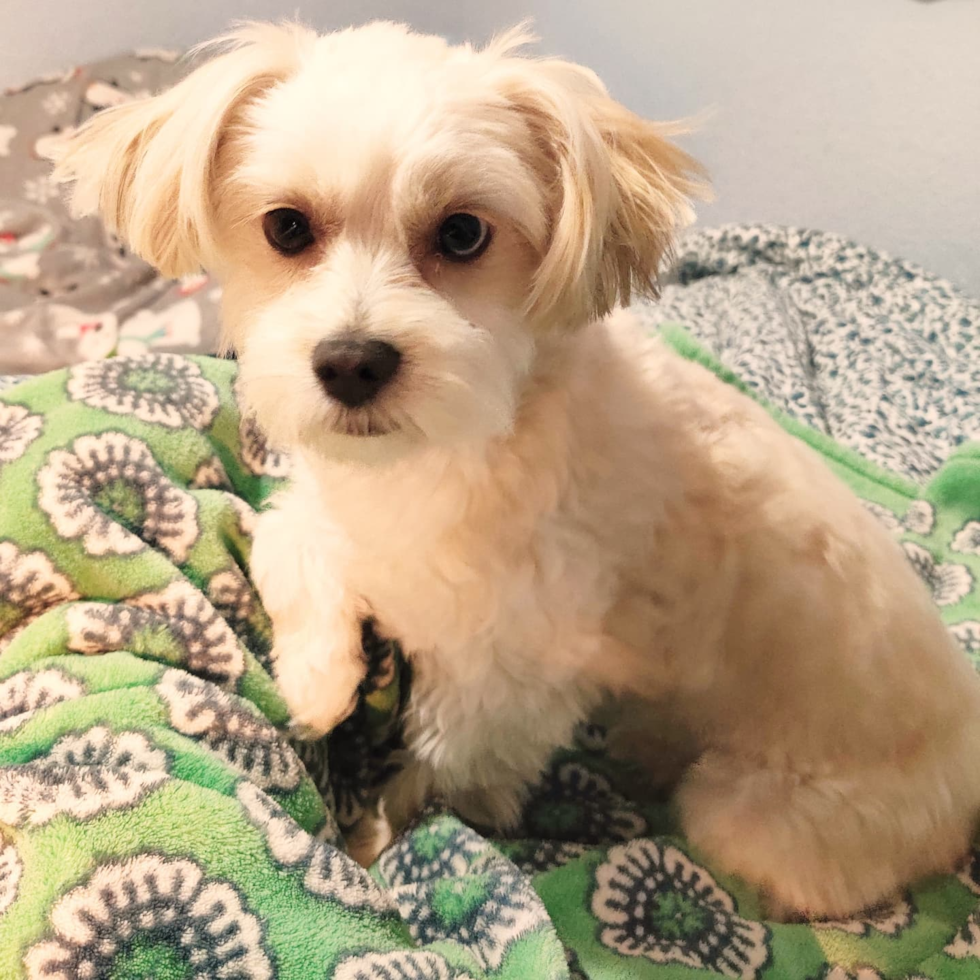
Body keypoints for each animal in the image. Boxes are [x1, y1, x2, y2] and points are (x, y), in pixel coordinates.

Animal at [55, 17, 980, 920]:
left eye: (463, 233)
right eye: (287, 227)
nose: (351, 363)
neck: (445, 454)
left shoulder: (502, 677)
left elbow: (440, 771)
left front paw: (378, 846)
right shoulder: (326, 509)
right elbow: (291, 546)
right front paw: (319, 683)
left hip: (759, 812)